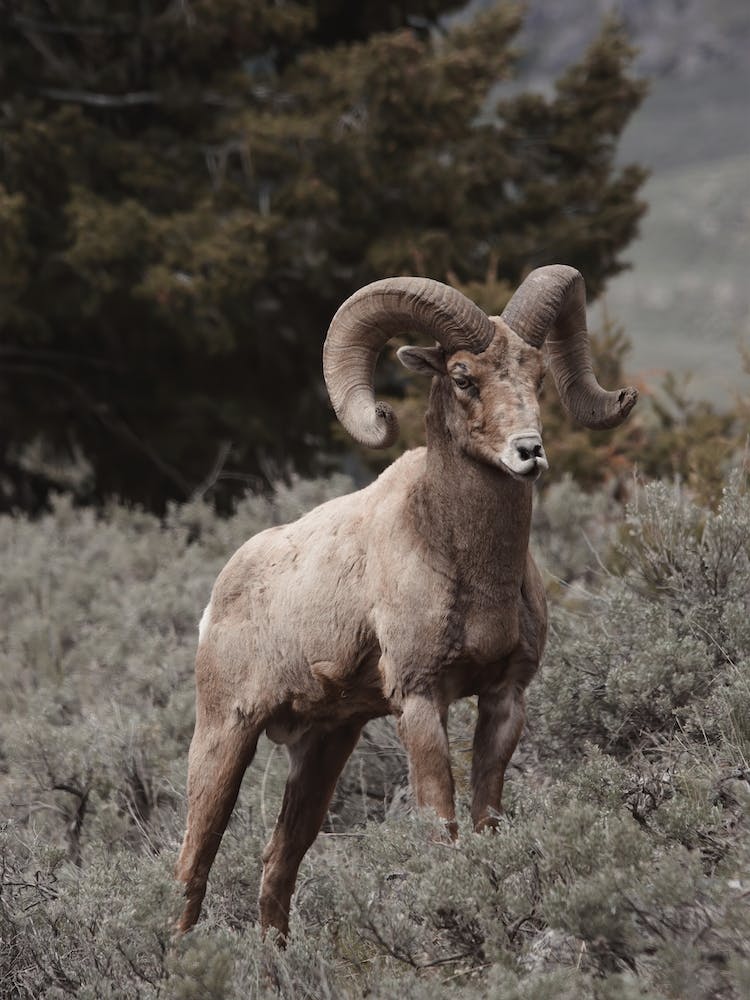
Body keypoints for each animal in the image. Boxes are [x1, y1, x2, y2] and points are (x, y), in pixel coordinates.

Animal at [175, 265, 638, 939]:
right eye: (464, 377)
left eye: (537, 377)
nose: (529, 453)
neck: (465, 560)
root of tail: (220, 597)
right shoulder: (421, 700)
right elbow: (441, 830)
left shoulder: (505, 699)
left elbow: (486, 822)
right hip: (224, 737)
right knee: (193, 866)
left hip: (324, 749)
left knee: (277, 865)